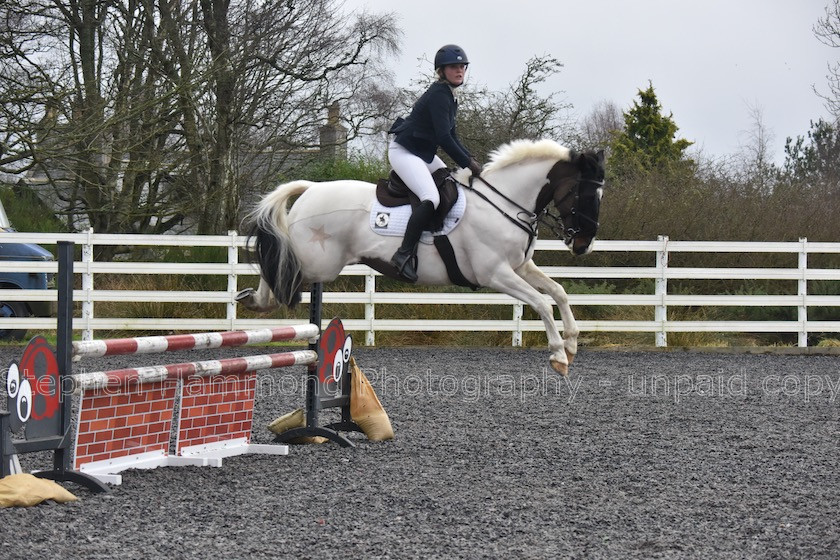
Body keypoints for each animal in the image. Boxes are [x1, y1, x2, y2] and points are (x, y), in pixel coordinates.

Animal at [236, 138, 604, 374]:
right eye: (585, 193)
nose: (583, 245)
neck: (504, 202)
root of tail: (311, 188)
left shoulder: (521, 266)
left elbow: (558, 292)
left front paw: (572, 343)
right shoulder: (496, 274)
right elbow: (541, 302)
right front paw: (558, 355)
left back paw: (254, 300)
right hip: (317, 262)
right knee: (279, 269)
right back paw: (257, 299)